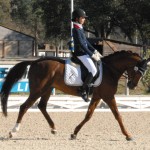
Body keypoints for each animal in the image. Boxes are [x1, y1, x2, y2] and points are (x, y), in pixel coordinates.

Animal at [0, 50, 149, 141]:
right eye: (138, 71)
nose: (132, 86)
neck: (110, 69)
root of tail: (35, 62)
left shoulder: (97, 96)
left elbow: (88, 115)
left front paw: (74, 133)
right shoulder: (108, 96)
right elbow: (118, 115)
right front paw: (128, 135)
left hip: (47, 89)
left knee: (42, 106)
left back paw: (53, 128)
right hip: (38, 90)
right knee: (24, 106)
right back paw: (13, 131)